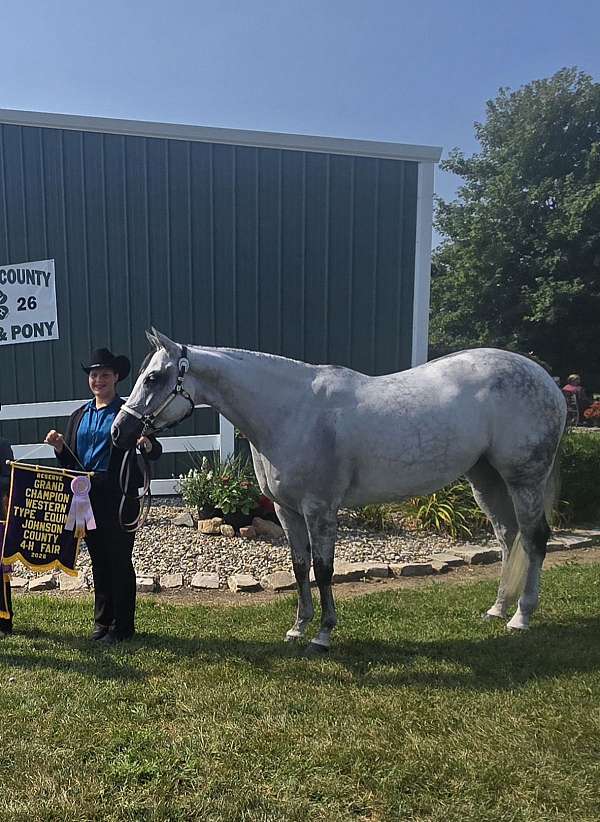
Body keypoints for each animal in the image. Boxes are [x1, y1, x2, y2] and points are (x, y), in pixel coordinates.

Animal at [112, 330, 566, 652]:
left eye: (153, 377)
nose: (120, 431)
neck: (292, 412)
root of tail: (547, 380)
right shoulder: (287, 511)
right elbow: (300, 567)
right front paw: (298, 628)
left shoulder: (320, 509)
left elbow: (324, 569)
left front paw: (323, 634)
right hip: (485, 477)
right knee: (508, 537)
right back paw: (497, 609)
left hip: (523, 478)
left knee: (534, 538)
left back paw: (521, 617)